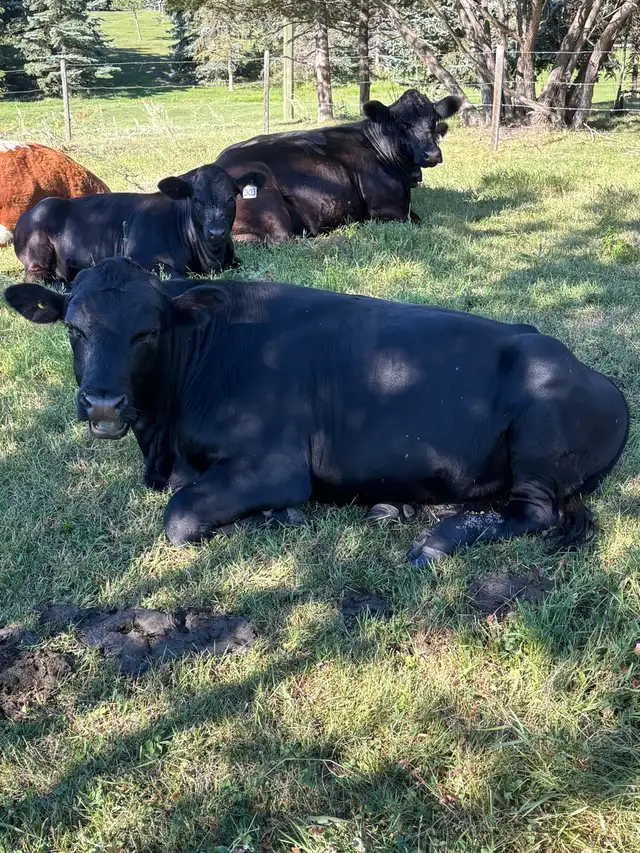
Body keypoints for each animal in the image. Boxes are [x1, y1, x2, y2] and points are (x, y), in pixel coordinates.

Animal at [4, 257, 629, 564]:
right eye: (73, 327)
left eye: (147, 332)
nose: (103, 402)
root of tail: (597, 376)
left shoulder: (274, 465)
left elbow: (179, 515)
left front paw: (279, 516)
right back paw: (397, 510)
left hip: (539, 439)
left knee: (535, 514)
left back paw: (436, 542)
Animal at [13, 164, 266, 284]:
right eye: (196, 199)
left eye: (231, 198)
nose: (216, 232)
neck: (209, 260)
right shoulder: (142, 259)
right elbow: (178, 277)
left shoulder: (233, 260)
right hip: (37, 257)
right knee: (40, 277)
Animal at [215, 89, 461, 242]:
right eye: (402, 124)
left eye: (433, 121)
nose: (432, 154)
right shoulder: (387, 209)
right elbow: (417, 220)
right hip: (270, 206)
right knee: (287, 240)